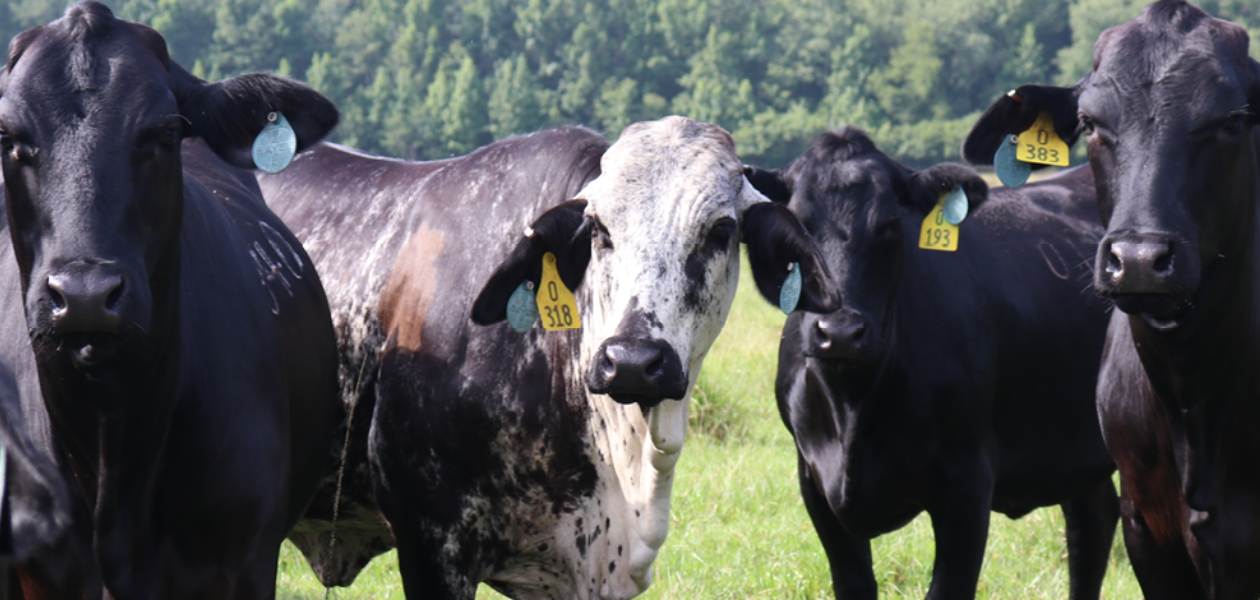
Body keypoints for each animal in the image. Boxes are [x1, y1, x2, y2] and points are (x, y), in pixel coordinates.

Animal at [745, 128, 1118, 599]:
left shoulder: (968, 484)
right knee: (1093, 522)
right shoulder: (814, 483)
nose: (841, 332)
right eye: (798, 226)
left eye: (890, 224)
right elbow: (852, 583)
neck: (853, 408)